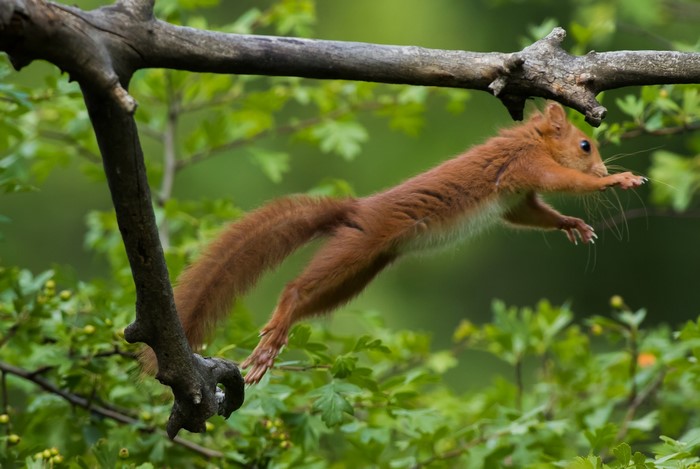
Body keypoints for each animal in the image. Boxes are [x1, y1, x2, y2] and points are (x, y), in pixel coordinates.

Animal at [141, 102, 646, 384]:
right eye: (585, 145)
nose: (604, 168)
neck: (530, 141)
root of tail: (355, 210)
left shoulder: (516, 197)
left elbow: (531, 216)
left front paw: (570, 224)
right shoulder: (526, 168)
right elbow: (564, 182)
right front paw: (615, 181)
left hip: (362, 272)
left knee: (313, 302)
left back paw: (275, 341)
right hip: (357, 249)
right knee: (296, 289)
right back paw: (278, 327)